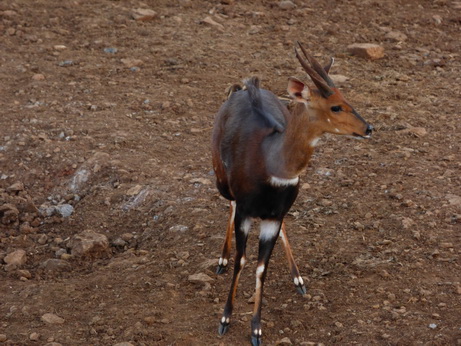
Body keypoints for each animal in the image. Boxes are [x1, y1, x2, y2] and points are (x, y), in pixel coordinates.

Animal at [210, 43, 372, 346]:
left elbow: (262, 267)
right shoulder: (246, 213)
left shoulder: (275, 215)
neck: (273, 161)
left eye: (346, 98)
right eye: (335, 106)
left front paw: (256, 330)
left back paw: (298, 279)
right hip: (221, 179)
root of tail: (244, 87)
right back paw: (221, 260)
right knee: (229, 204)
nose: (368, 128)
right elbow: (242, 260)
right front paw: (225, 319)